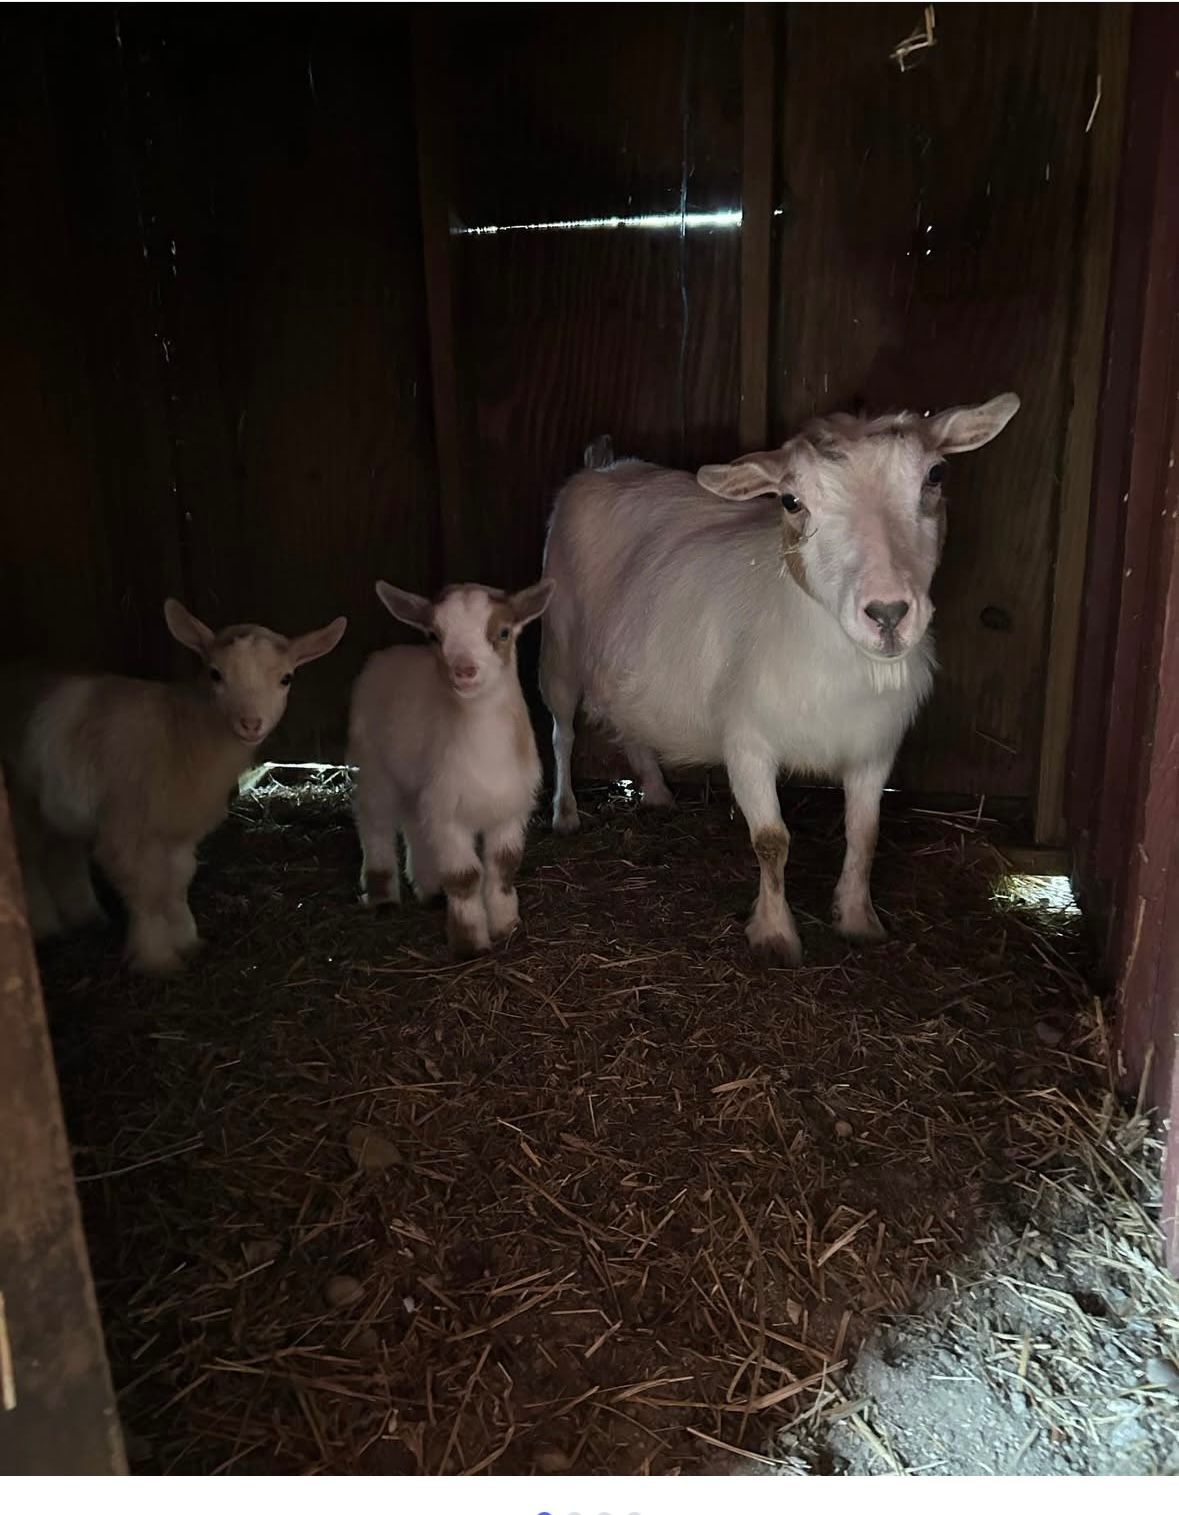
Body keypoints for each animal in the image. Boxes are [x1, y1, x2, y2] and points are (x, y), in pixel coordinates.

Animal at [1, 600, 346, 973]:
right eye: (215, 674)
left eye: (286, 678)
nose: (251, 724)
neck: (180, 730)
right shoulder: (127, 829)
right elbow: (148, 891)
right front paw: (156, 959)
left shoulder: (177, 829)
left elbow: (177, 883)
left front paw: (188, 939)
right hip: (18, 797)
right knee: (27, 860)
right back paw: (43, 927)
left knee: (62, 852)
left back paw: (85, 916)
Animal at [348, 578, 554, 957]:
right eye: (434, 635)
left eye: (503, 632)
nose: (464, 670)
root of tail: (384, 656)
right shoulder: (448, 815)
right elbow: (464, 878)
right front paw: (470, 943)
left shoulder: (510, 810)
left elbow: (504, 866)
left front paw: (506, 925)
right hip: (372, 763)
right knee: (374, 820)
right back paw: (383, 894)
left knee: (413, 821)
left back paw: (429, 889)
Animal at [540, 394, 1020, 963]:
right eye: (791, 501)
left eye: (936, 475)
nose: (888, 613)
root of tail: (601, 467)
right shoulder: (747, 743)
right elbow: (772, 841)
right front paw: (774, 936)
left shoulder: (873, 747)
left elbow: (865, 834)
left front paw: (858, 920)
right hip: (557, 646)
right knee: (562, 732)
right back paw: (565, 813)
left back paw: (655, 793)